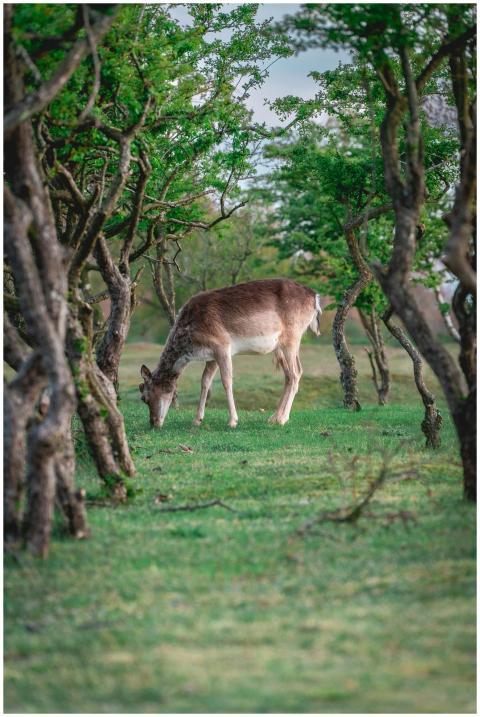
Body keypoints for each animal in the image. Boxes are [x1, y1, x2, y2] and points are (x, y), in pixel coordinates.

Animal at [139, 278, 322, 428]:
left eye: (145, 398)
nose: (154, 423)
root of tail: (315, 297)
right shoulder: (211, 356)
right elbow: (205, 382)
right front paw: (197, 420)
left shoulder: (222, 346)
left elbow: (227, 381)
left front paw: (233, 421)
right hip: (281, 346)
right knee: (290, 374)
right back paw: (274, 417)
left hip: (293, 336)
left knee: (295, 373)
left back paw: (282, 419)